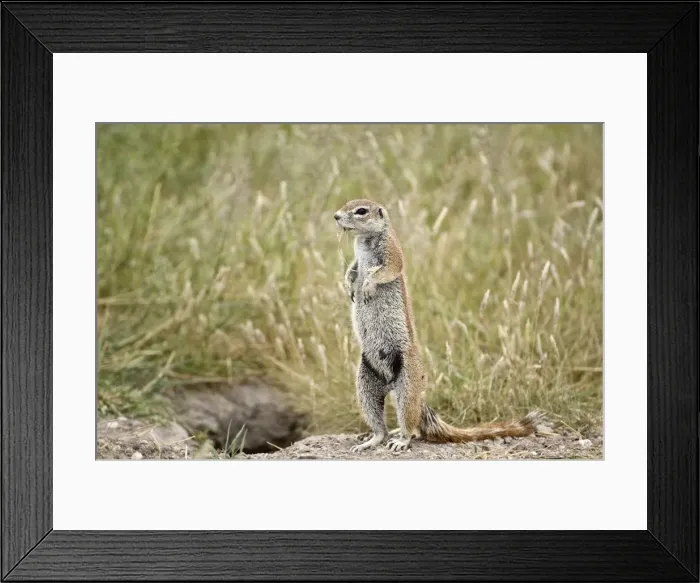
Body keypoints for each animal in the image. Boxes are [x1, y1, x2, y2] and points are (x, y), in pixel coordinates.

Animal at [334, 199, 544, 452]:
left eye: (361, 211)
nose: (335, 216)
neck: (365, 240)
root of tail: (392, 384)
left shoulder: (392, 251)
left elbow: (388, 269)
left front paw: (367, 286)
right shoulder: (357, 257)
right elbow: (353, 269)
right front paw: (349, 284)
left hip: (407, 383)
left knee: (409, 422)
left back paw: (401, 440)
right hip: (365, 382)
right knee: (378, 424)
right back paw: (372, 440)